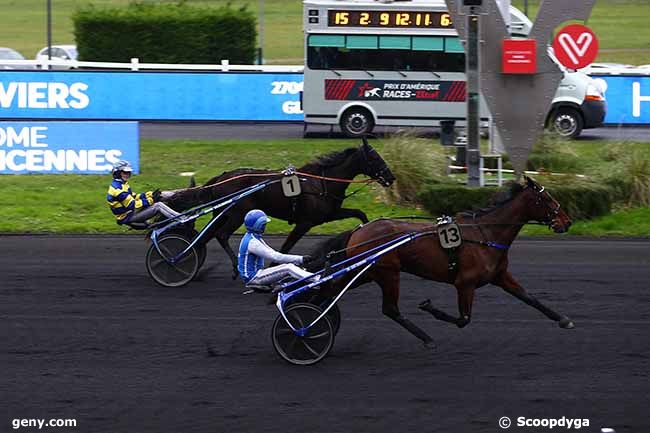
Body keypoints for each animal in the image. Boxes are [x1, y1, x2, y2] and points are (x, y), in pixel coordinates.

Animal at [165, 140, 392, 276]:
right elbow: (286, 246)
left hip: (223, 213)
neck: (321, 183)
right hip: (237, 214)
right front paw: (275, 267)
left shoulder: (328, 214)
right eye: (375, 158)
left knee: (208, 235)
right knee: (220, 235)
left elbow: (359, 214)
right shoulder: (305, 222)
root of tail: (222, 177)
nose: (391, 177)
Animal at [308, 176, 572, 348]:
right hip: (387, 272)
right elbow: (463, 320)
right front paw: (429, 307)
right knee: (389, 308)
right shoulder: (465, 283)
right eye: (547, 199)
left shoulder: (499, 276)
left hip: (366, 272)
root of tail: (359, 230)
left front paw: (563, 319)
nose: (567, 221)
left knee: (330, 290)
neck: (486, 234)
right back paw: (426, 339)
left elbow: (530, 298)